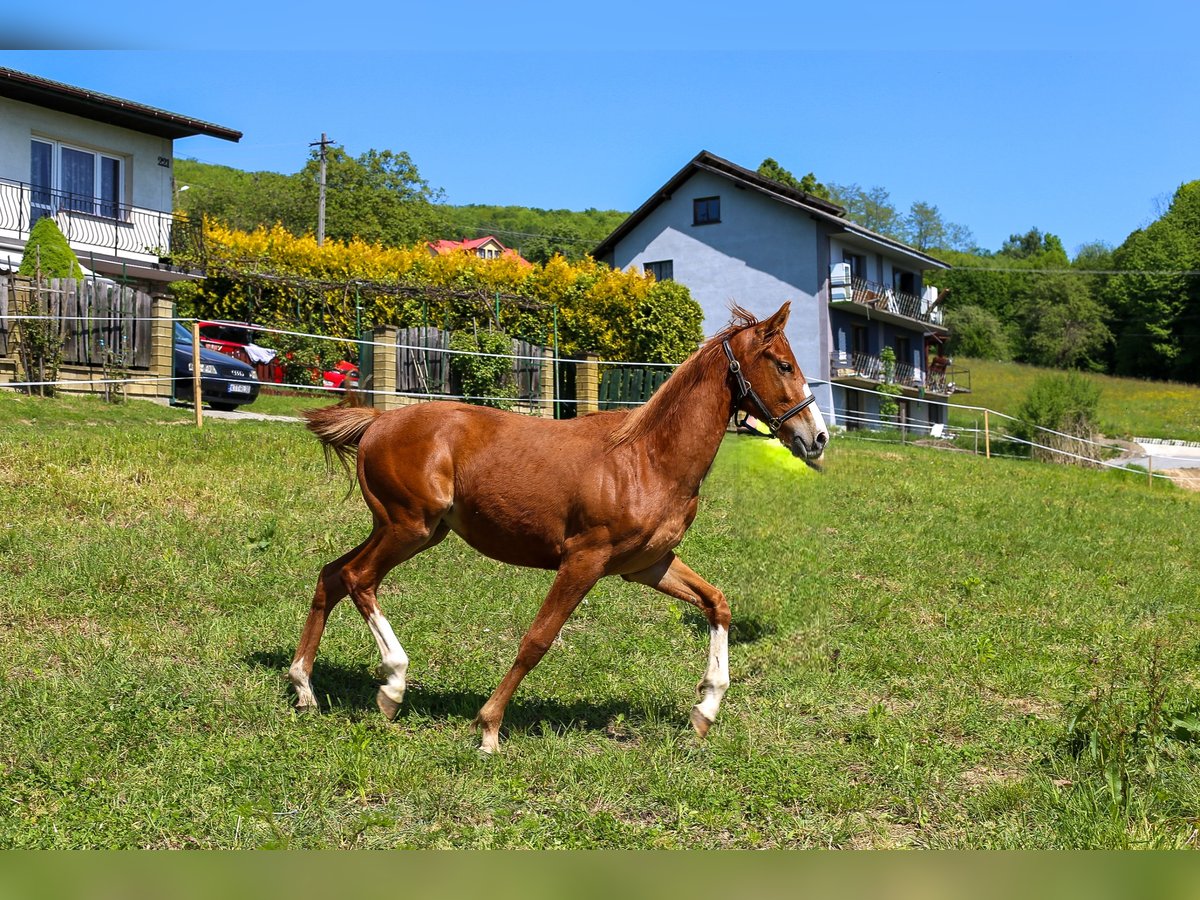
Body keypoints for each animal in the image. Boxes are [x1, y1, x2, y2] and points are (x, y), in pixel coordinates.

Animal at [295, 303, 830, 753]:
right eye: (783, 364)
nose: (818, 437)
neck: (647, 458)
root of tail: (376, 423)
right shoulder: (583, 560)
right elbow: (537, 639)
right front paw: (488, 728)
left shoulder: (648, 565)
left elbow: (717, 603)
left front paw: (705, 710)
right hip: (409, 528)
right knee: (359, 579)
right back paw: (392, 686)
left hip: (407, 530)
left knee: (332, 575)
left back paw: (304, 688)